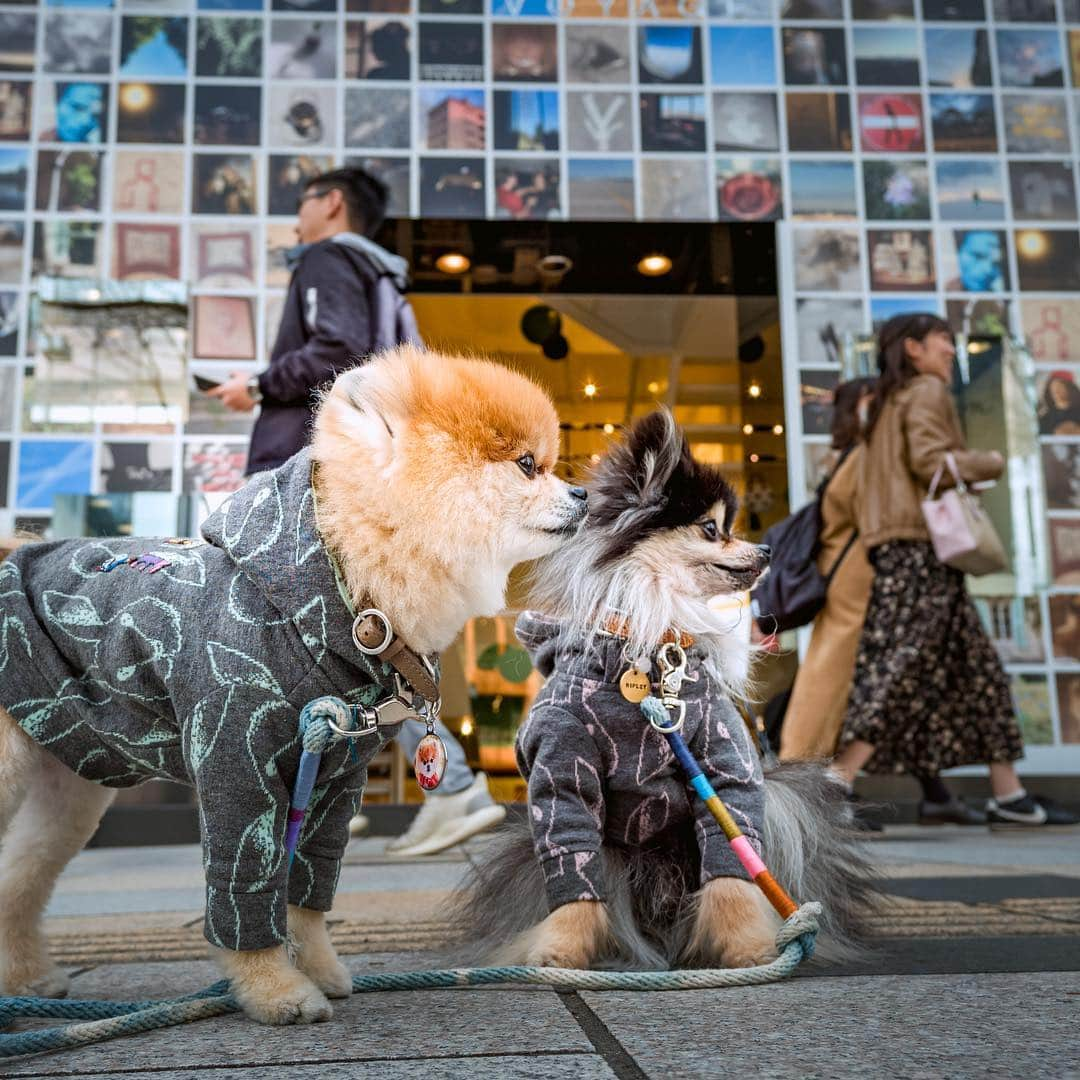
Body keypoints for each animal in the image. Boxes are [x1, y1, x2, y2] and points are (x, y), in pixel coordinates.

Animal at [455, 408, 876, 967]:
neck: (652, 649)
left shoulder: (723, 762)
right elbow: (573, 870)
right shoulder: (563, 766)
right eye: (712, 528)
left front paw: (748, 949)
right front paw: (559, 952)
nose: (767, 548)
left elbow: (732, 874)